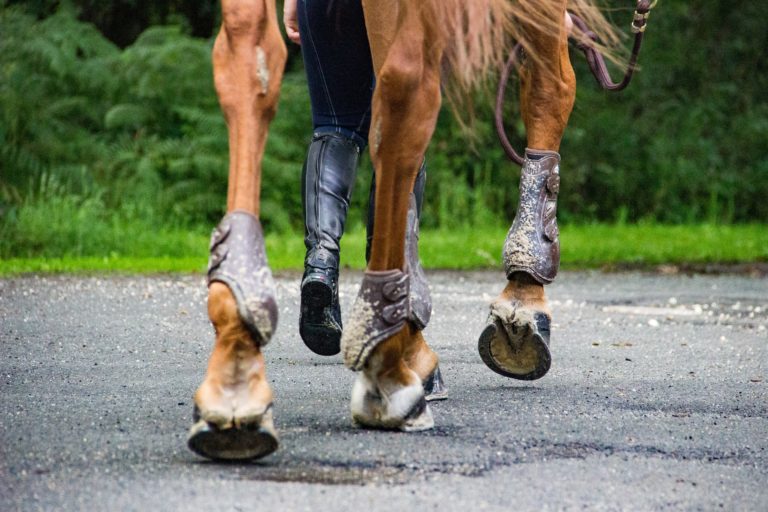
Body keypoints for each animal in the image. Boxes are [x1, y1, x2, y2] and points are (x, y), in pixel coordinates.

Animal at [185, 0, 647, 460]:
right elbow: (552, 87)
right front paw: (522, 300)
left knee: (255, 56)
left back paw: (238, 374)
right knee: (404, 89)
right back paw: (389, 371)